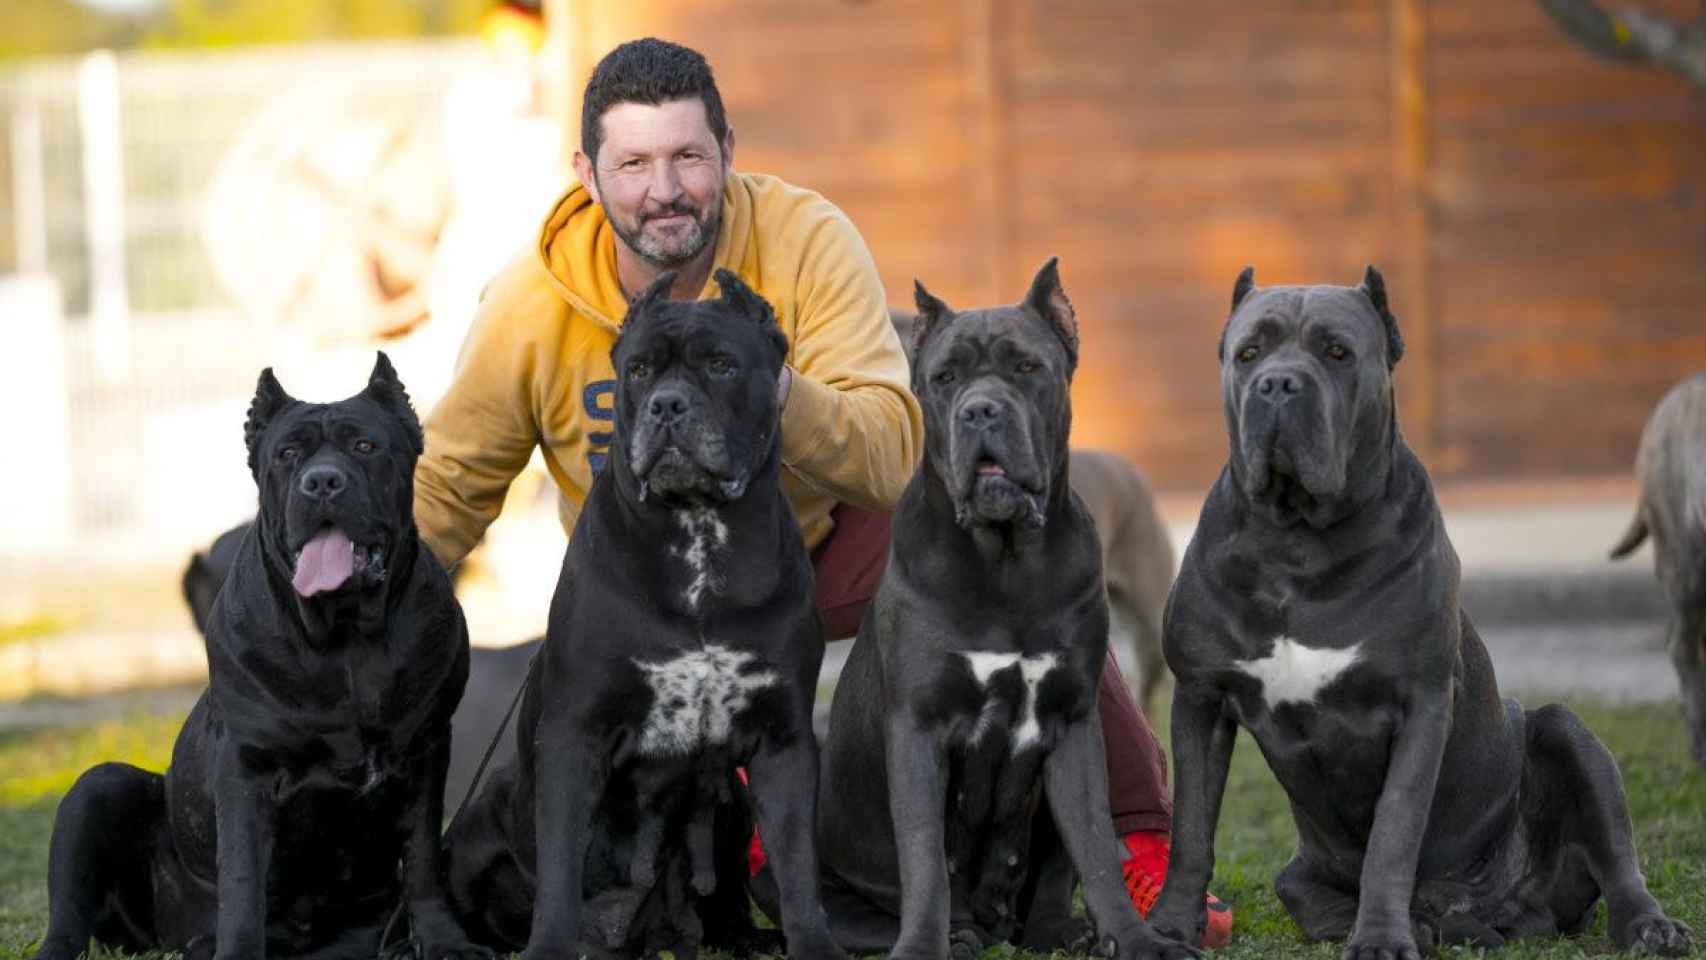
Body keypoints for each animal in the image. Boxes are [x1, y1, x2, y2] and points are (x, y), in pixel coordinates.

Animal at [34, 354, 487, 960]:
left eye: (365, 446)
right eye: (287, 454)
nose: (322, 481)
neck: (344, 638)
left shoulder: (425, 749)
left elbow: (421, 863)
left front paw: (444, 942)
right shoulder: (245, 766)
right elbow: (244, 875)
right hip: (98, 788)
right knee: (69, 912)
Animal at [436, 269, 842, 960]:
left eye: (721, 364)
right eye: (639, 371)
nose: (667, 406)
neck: (698, 535)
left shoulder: (784, 740)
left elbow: (796, 866)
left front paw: (813, 943)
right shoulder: (574, 735)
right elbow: (560, 869)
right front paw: (548, 948)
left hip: (732, 799)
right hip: (480, 819)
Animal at [815, 259, 1194, 960]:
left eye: (1026, 367)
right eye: (944, 378)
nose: (981, 410)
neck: (1006, 561)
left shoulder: (1073, 724)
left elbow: (1095, 848)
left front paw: (1135, 940)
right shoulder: (918, 730)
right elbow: (925, 863)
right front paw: (922, 946)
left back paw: (1058, 930)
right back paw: (956, 934)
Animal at [1146, 269, 1692, 960]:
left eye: (1337, 352)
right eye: (1249, 354)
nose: (1278, 384)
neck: (1297, 543)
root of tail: (1492, 904)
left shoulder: (1420, 705)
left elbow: (1394, 832)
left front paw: (1381, 938)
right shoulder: (1200, 699)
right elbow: (1191, 830)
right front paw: (1166, 929)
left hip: (1567, 733)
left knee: (1618, 861)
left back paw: (1648, 927)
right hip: (1298, 874)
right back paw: (1435, 926)